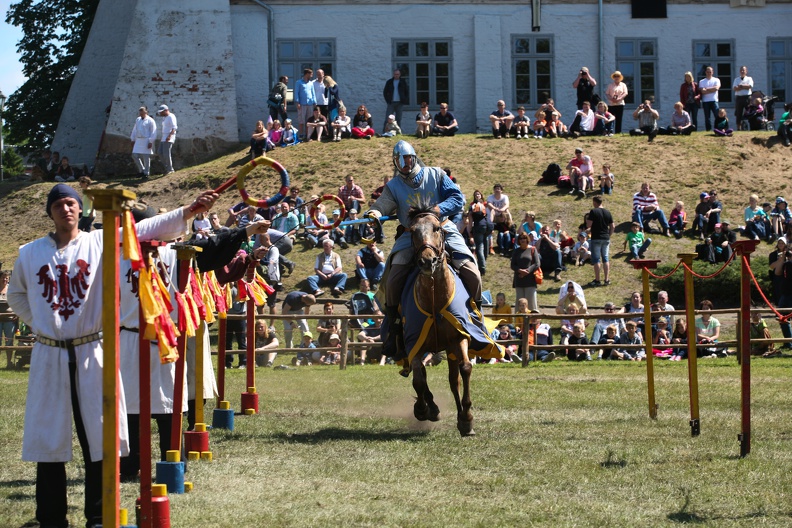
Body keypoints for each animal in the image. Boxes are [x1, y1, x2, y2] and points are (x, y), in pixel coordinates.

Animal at [408, 204, 476, 436]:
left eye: (437, 228)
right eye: (412, 231)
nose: (428, 261)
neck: (435, 300)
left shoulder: (459, 338)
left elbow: (465, 369)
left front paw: (467, 418)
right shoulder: (415, 343)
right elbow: (419, 378)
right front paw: (423, 409)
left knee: (453, 380)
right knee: (421, 375)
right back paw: (430, 407)